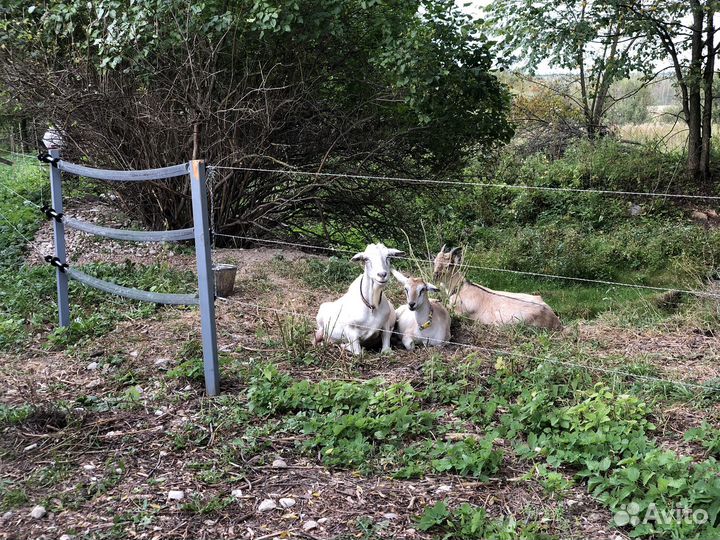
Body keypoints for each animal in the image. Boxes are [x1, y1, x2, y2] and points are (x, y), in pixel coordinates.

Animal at [433, 246, 562, 330]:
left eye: (449, 265)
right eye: (434, 261)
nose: (435, 275)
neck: (460, 287)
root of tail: (554, 318)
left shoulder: (461, 312)